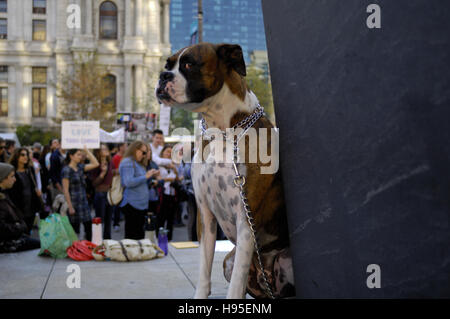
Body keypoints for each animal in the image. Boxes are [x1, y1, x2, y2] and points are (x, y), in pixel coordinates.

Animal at [156, 42, 296, 300]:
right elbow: (204, 271)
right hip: (228, 262)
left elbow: (234, 287)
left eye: (189, 65)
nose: (163, 76)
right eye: (167, 65)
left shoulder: (246, 218)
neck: (221, 129)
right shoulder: (205, 215)